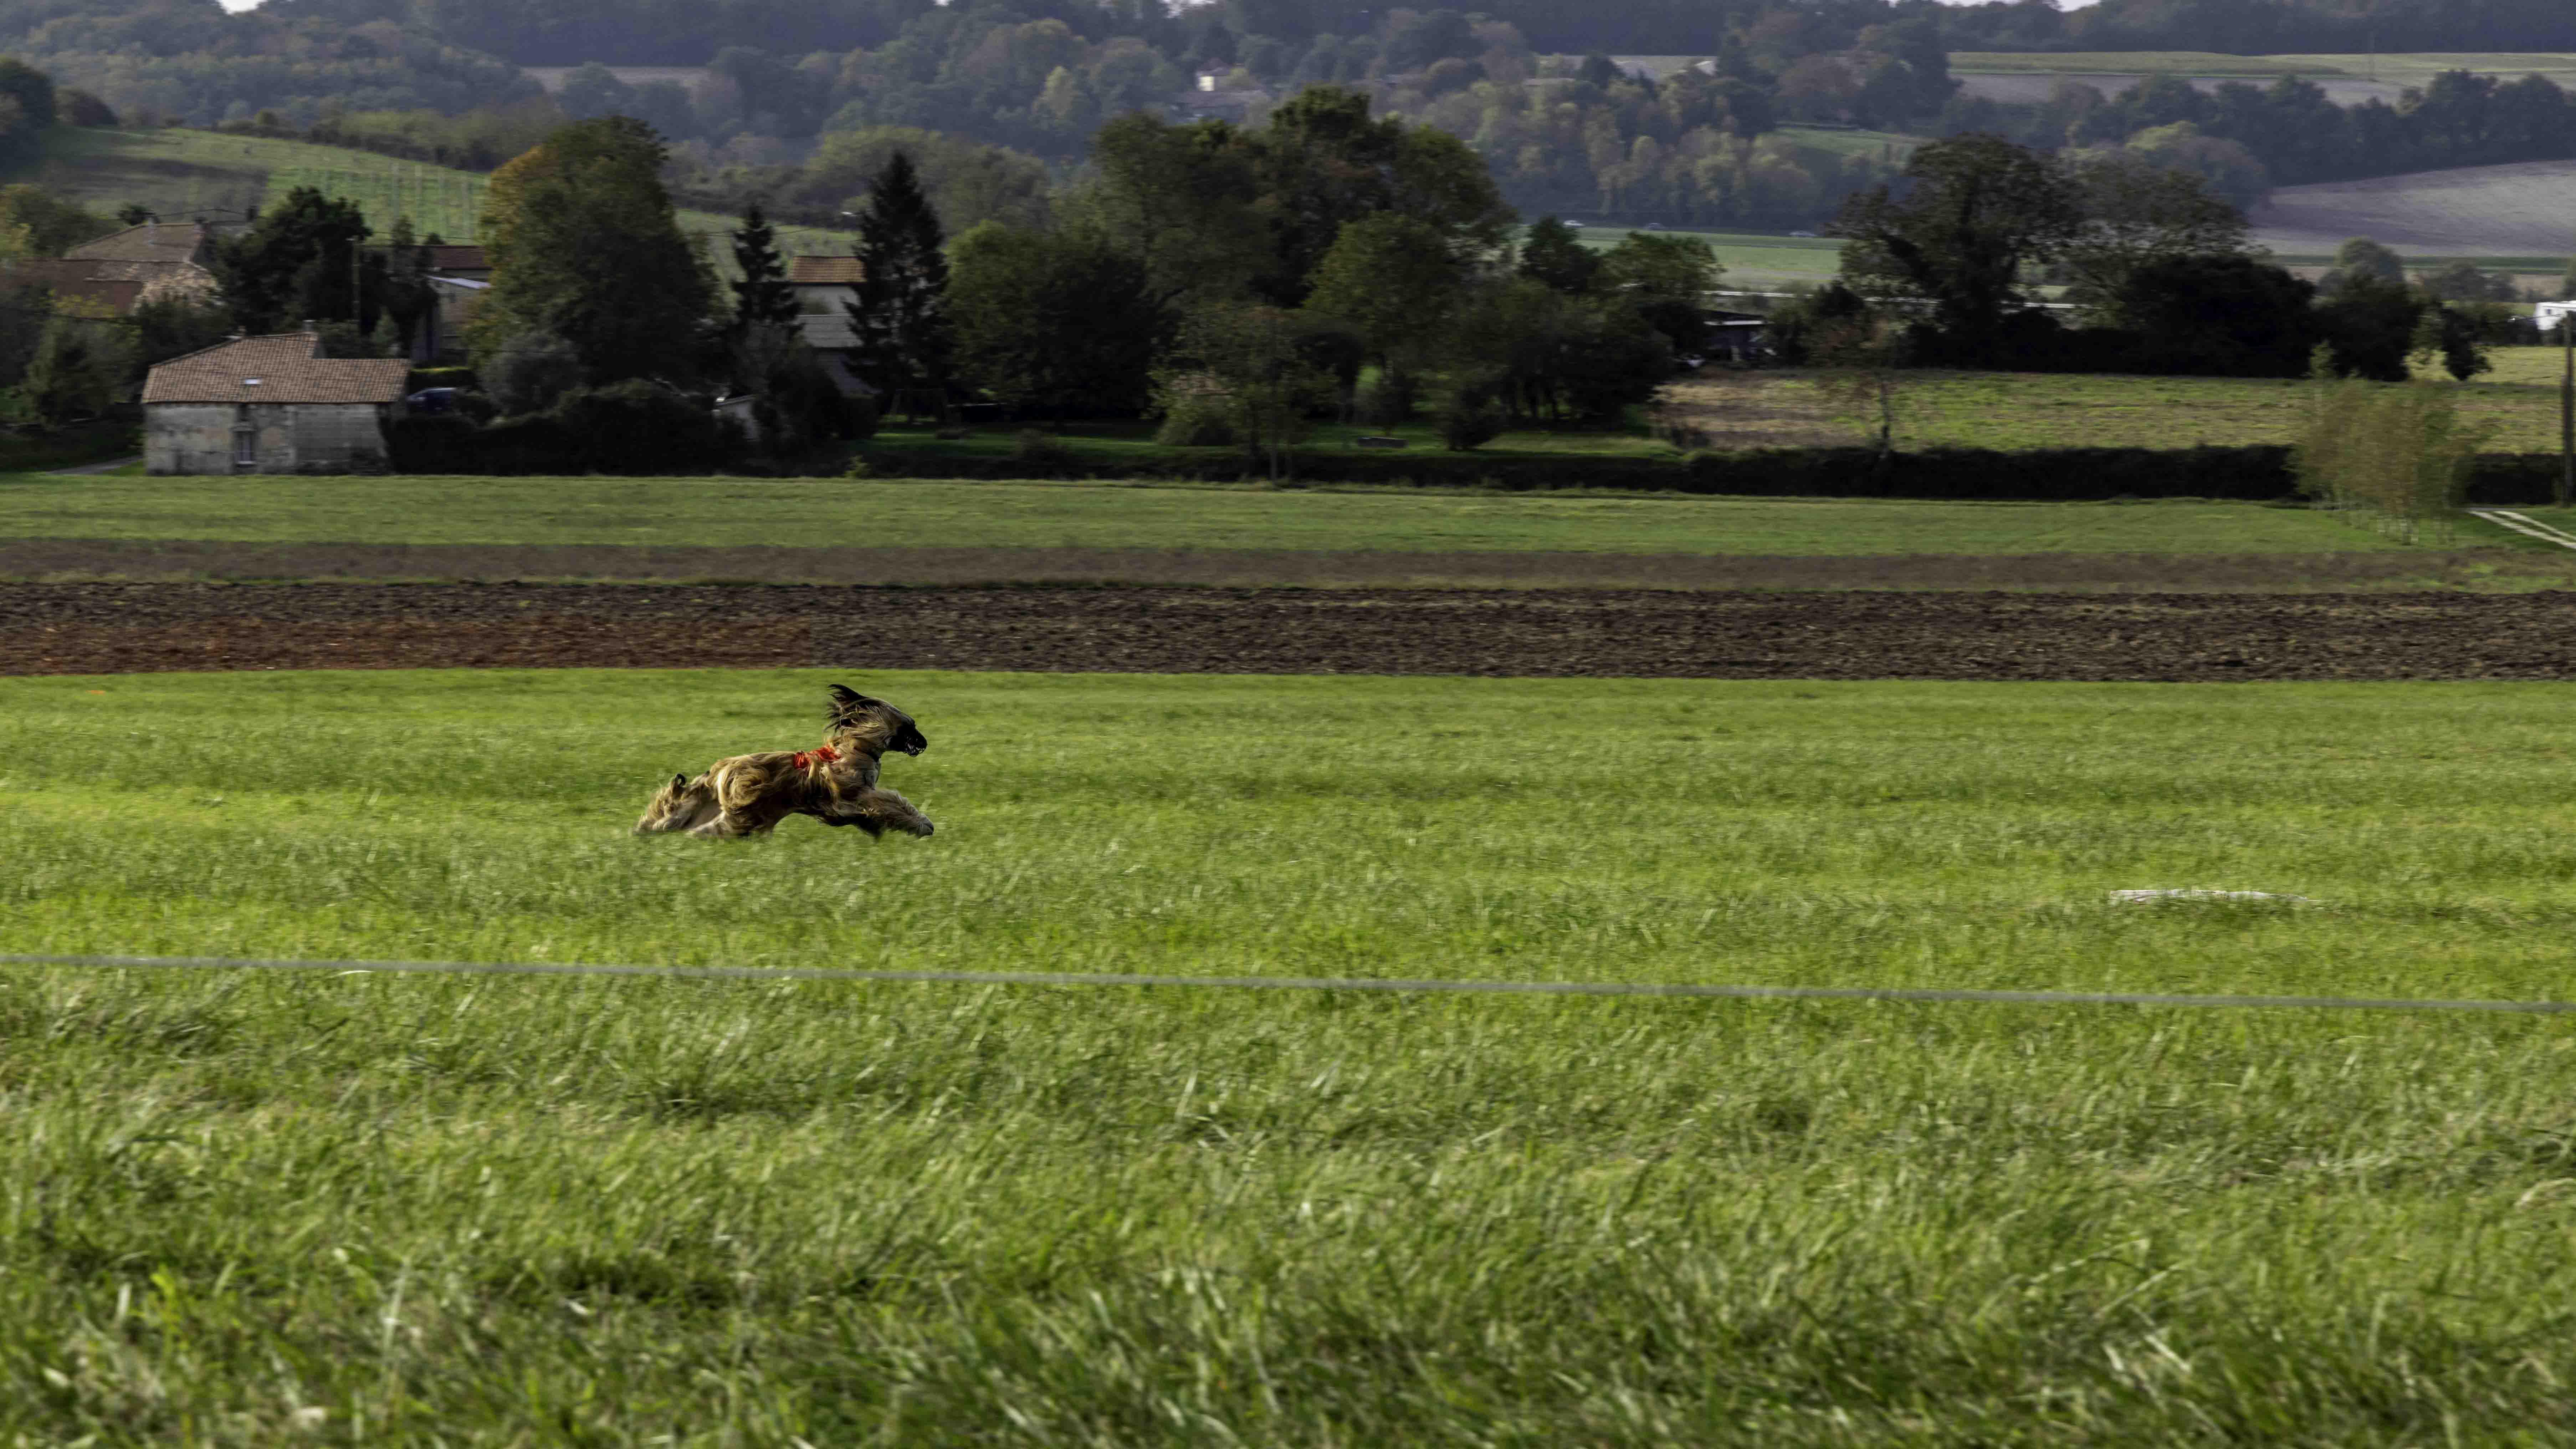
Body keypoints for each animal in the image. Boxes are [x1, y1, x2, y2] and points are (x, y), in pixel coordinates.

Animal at [634, 686, 937, 840]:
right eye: (909, 727)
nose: (923, 743)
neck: (858, 748)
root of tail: (719, 771)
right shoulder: (854, 793)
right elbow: (891, 803)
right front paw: (922, 824)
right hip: (748, 808)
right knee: (715, 829)